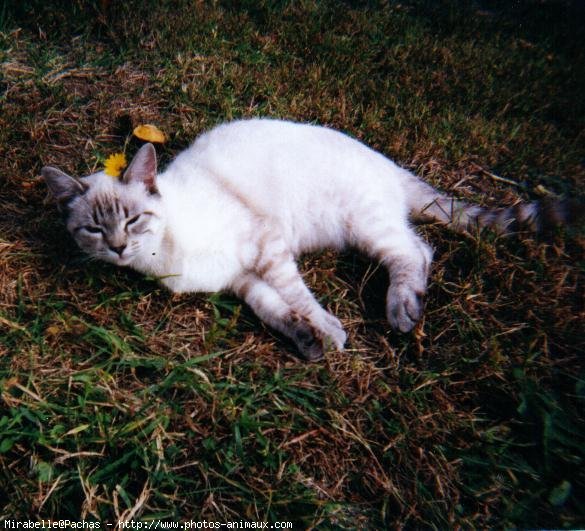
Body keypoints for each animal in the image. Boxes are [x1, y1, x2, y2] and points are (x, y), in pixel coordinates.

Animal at [41, 119, 576, 362]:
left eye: (132, 221)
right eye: (94, 229)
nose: (117, 248)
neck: (163, 261)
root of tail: (392, 166)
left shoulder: (267, 248)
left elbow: (299, 298)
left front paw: (330, 334)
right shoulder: (241, 280)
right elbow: (276, 311)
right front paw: (309, 342)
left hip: (364, 226)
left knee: (415, 251)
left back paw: (403, 309)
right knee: (421, 248)